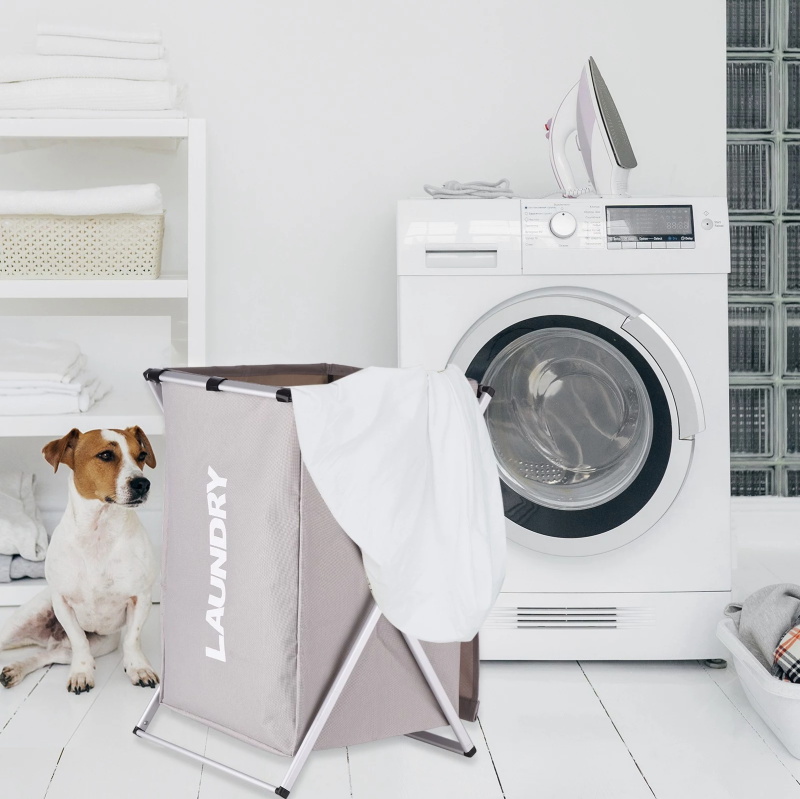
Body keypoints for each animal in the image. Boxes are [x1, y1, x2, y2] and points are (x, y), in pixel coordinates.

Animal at [0, 424, 161, 692]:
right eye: (106, 455)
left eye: (141, 456)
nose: (143, 483)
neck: (99, 531)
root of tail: (50, 639)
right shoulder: (62, 602)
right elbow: (79, 641)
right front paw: (82, 673)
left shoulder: (141, 598)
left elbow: (132, 638)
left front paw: (138, 668)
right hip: (18, 623)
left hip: (99, 644)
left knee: (47, 655)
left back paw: (16, 669)